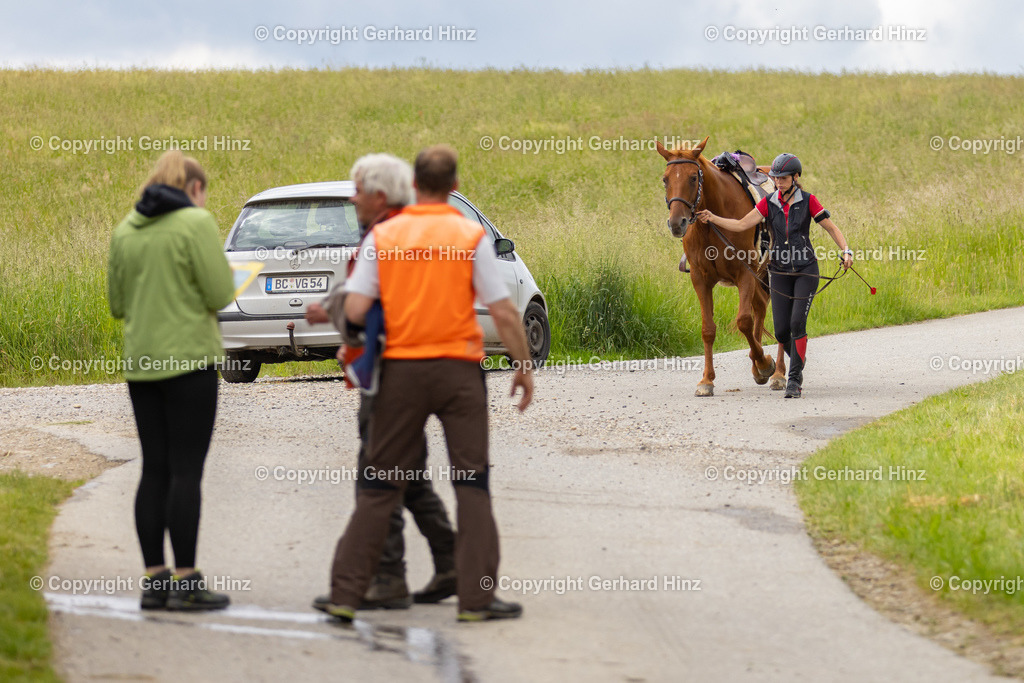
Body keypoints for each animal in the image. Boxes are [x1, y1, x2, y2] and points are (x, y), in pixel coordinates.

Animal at [655, 137, 782, 397]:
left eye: (693, 177)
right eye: (665, 179)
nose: (677, 223)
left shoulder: (744, 274)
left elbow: (744, 321)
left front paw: (765, 364)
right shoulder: (700, 279)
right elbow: (708, 329)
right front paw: (706, 380)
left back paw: (778, 374)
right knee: (760, 306)